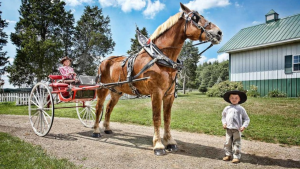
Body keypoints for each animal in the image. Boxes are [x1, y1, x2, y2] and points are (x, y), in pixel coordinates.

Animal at [94, 2, 223, 156]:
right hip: (102, 88)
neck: (160, 57)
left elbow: (167, 118)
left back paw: (107, 128)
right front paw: (158, 145)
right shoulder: (156, 92)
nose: (219, 32)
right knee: (98, 107)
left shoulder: (169, 95)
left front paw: (170, 141)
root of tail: (103, 61)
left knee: (108, 108)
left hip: (117, 91)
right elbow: (157, 118)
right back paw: (96, 131)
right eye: (195, 18)